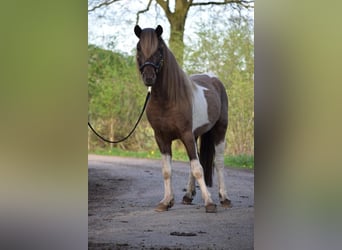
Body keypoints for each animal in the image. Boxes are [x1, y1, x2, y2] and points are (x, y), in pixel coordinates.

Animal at [135, 24, 231, 213]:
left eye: (159, 49)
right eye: (139, 48)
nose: (149, 77)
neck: (167, 100)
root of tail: (214, 80)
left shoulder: (186, 134)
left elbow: (198, 168)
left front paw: (209, 203)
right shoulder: (162, 138)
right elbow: (167, 170)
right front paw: (166, 201)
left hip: (220, 130)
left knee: (218, 163)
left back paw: (224, 198)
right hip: (195, 135)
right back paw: (188, 196)